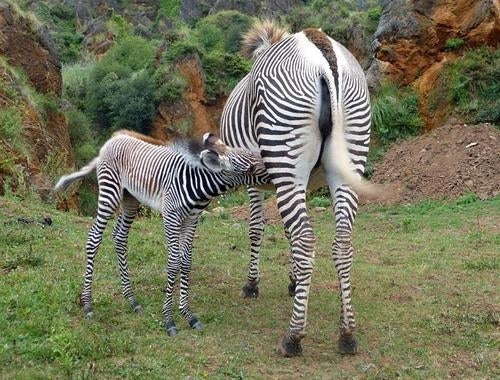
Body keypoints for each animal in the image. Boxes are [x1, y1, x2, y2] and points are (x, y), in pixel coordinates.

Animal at [54, 131, 270, 336]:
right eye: (250, 168)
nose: (273, 171)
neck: (196, 183)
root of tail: (110, 142)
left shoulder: (191, 220)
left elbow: (186, 262)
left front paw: (188, 316)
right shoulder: (171, 218)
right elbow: (174, 263)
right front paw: (169, 320)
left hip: (130, 198)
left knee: (120, 237)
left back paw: (132, 300)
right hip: (110, 192)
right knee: (94, 238)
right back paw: (88, 304)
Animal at [221, 21, 374, 356]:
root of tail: (322, 52)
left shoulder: (253, 178)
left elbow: (257, 229)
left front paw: (252, 284)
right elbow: (286, 230)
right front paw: (293, 283)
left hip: (285, 155)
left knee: (305, 239)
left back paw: (293, 337)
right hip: (349, 157)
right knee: (342, 242)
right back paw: (347, 334)